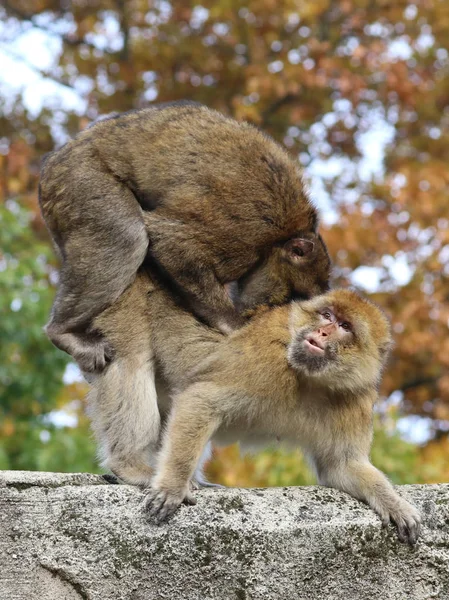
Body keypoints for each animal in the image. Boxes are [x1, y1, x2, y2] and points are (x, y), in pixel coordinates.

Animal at [39, 103, 328, 376]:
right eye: (292, 297)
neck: (283, 236)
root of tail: (52, 163)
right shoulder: (245, 231)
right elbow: (172, 243)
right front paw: (233, 325)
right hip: (81, 180)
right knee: (126, 237)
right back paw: (62, 331)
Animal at [90, 272, 420, 544]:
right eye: (326, 315)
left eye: (345, 326)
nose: (323, 332)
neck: (311, 378)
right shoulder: (266, 360)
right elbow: (202, 399)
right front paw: (172, 485)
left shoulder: (355, 401)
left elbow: (341, 466)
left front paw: (392, 502)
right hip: (123, 299)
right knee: (131, 360)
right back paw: (129, 465)